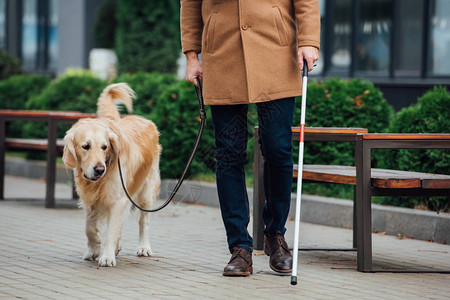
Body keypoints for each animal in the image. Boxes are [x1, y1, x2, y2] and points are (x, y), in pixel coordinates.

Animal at [62, 82, 161, 268]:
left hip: (146, 190)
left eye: (104, 147)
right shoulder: (89, 201)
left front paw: (107, 257)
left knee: (144, 221)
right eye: (85, 146)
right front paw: (93, 250)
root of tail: (145, 120)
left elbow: (111, 231)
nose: (100, 169)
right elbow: (89, 228)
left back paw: (144, 247)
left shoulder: (117, 199)